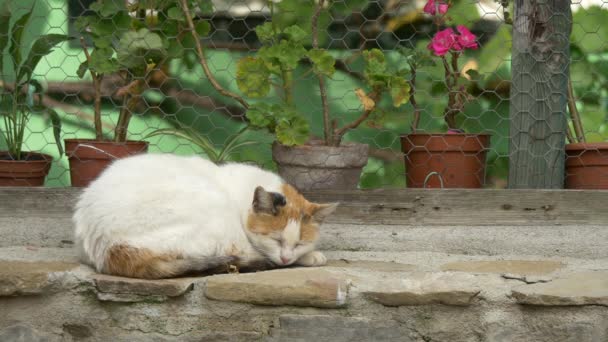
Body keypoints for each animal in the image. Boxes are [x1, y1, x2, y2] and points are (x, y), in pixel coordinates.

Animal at [73, 154, 338, 280]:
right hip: (213, 211)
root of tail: (111, 247)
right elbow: (263, 252)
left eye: (300, 243)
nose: (286, 257)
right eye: (275, 239)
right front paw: (311, 257)